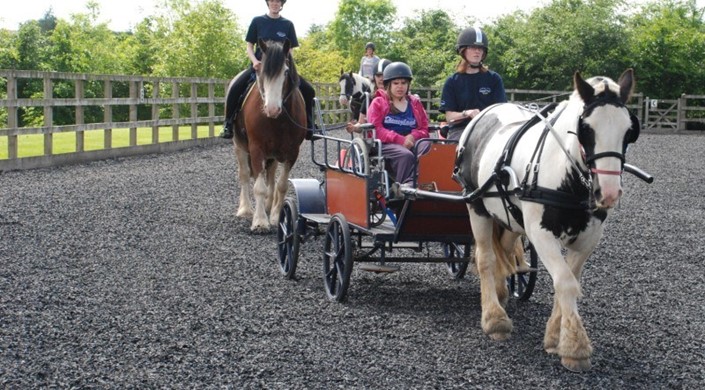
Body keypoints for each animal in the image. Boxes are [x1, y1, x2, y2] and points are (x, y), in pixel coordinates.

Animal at [234, 38, 306, 232]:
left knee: (271, 178)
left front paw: (276, 216)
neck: (278, 120)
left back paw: (268, 206)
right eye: (260, 70)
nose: (272, 109)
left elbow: (281, 185)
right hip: (239, 145)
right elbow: (258, 187)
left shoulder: (293, 152)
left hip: (273, 154)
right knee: (244, 174)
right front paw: (260, 221)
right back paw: (245, 209)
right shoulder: (256, 148)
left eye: (286, 71)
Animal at [454, 69, 640, 372]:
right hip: (476, 204)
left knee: (505, 249)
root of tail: (485, 112)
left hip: (509, 216)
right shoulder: (541, 234)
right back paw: (494, 317)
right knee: (485, 258)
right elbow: (564, 281)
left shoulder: (588, 238)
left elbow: (569, 280)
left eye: (629, 130)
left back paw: (501, 291)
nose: (609, 193)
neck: (567, 177)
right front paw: (575, 347)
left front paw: (555, 337)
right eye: (586, 128)